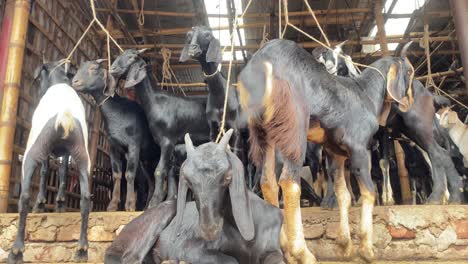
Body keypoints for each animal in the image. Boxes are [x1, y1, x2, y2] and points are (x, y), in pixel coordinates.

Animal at [8, 60, 90, 264]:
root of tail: (64, 115)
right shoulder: (66, 153)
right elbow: (63, 172)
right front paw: (60, 204)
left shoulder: (44, 152)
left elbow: (45, 172)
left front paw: (42, 204)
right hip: (82, 156)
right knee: (85, 198)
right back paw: (81, 250)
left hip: (33, 151)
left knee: (25, 197)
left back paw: (16, 251)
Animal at [72, 59, 160, 210]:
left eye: (93, 68)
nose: (75, 81)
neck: (118, 113)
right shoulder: (113, 147)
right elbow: (117, 175)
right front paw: (112, 205)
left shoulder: (133, 145)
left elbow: (129, 174)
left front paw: (130, 205)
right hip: (147, 162)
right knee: (151, 182)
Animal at [104, 130, 284, 264]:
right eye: (189, 181)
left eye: (227, 177)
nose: (209, 229)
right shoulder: (189, 247)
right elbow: (230, 260)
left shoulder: (273, 248)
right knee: (131, 258)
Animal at [109, 48, 208, 207]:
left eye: (131, 57)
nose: (112, 69)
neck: (156, 101)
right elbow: (169, 170)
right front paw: (168, 199)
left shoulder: (167, 141)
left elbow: (159, 170)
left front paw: (154, 201)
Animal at [239, 38, 414, 262]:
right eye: (409, 70)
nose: (409, 102)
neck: (365, 93)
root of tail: (262, 62)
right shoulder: (359, 148)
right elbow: (368, 191)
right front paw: (366, 249)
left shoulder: (335, 153)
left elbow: (344, 195)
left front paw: (345, 246)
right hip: (295, 129)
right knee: (289, 182)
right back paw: (303, 253)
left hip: (266, 134)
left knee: (268, 183)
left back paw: (285, 250)